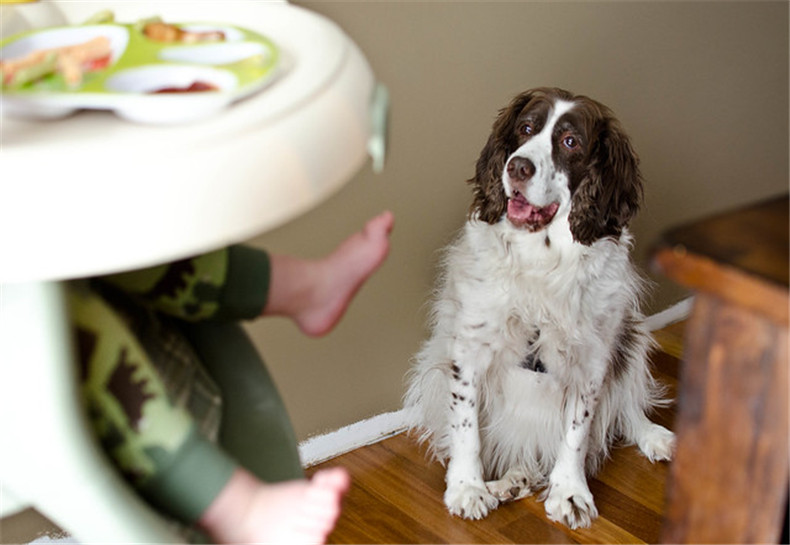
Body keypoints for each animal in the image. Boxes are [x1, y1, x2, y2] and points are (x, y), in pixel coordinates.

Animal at [408, 88, 676, 528]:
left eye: (570, 142)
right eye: (526, 128)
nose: (517, 167)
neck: (539, 258)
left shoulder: (592, 359)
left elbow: (577, 433)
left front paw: (570, 491)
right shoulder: (470, 348)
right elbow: (466, 427)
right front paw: (467, 488)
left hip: (631, 335)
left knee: (625, 406)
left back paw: (653, 436)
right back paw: (509, 481)